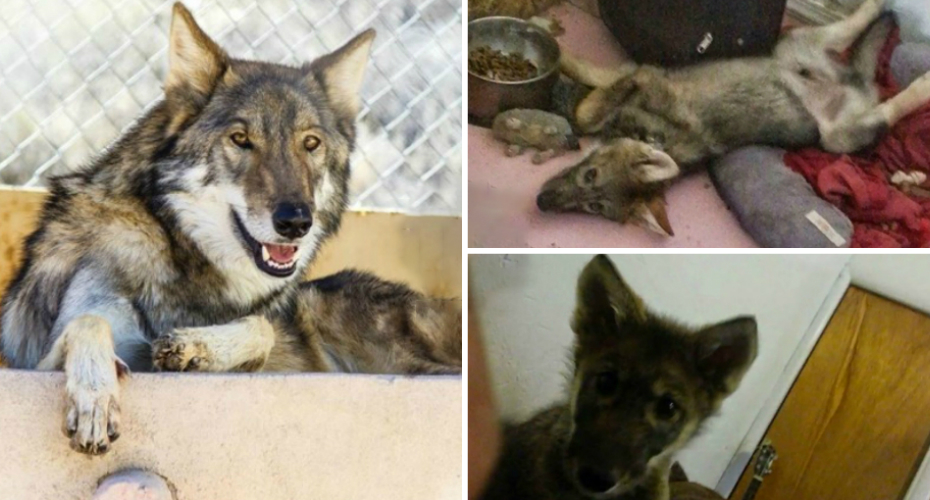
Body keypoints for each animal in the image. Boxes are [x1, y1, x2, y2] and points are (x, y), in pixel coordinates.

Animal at [0, 3, 461, 456]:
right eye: (240, 139)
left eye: (310, 144)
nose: (296, 222)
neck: (180, 253)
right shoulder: (38, 361)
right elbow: (90, 323)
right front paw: (95, 399)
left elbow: (262, 327)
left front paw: (195, 349)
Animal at [536, 0, 930, 235]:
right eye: (593, 208)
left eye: (591, 177)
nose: (540, 203)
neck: (656, 139)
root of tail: (854, 82)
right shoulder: (631, 73)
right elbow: (591, 97)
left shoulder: (645, 74)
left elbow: (587, 110)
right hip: (795, 44)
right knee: (849, 30)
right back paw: (877, 10)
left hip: (841, 136)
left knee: (891, 106)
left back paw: (921, 84)